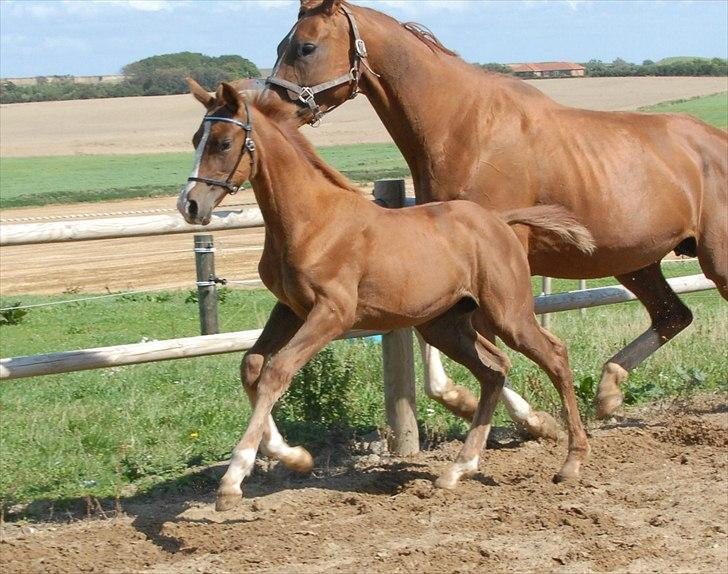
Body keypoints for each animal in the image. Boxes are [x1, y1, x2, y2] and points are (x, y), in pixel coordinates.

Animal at [179, 85, 596, 512]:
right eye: (196, 139)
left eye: (223, 142)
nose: (189, 204)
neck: (312, 220)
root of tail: (500, 221)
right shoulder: (290, 308)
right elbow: (252, 365)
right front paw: (295, 457)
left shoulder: (332, 313)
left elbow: (277, 370)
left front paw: (233, 481)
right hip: (442, 324)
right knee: (494, 369)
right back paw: (458, 469)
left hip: (508, 314)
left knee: (554, 356)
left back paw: (572, 461)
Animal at [268, 0, 728, 424]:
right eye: (279, 44)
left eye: (306, 47)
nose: (268, 106)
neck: (464, 129)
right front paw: (470, 403)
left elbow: (489, 349)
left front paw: (529, 420)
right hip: (636, 262)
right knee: (673, 315)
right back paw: (608, 391)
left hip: (713, 259)